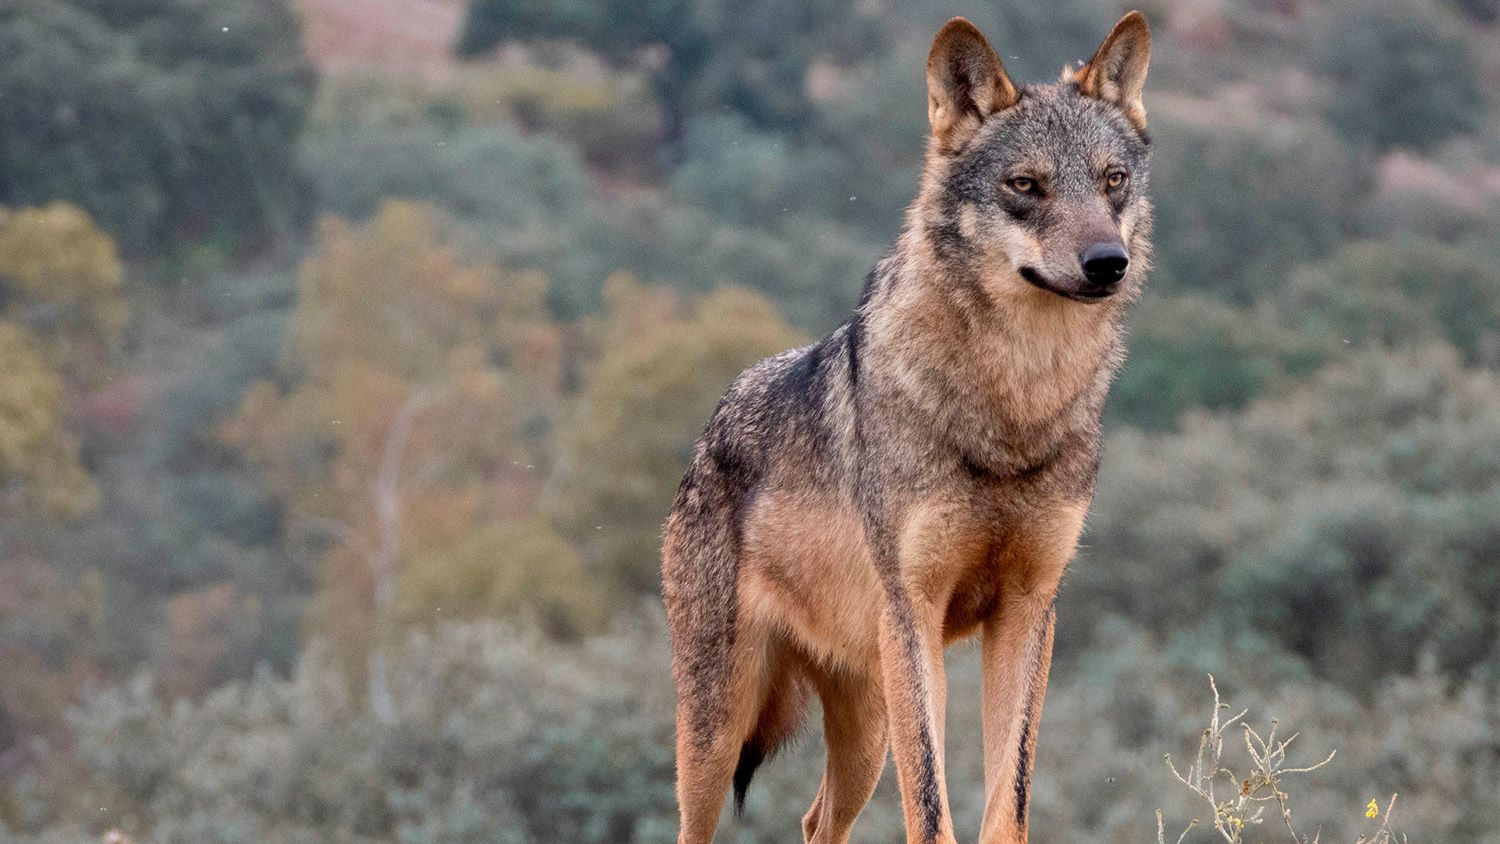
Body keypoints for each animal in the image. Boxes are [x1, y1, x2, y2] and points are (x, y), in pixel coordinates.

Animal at [663, 13, 1152, 844]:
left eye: (1111, 179)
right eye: (1025, 185)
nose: (1106, 261)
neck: (1012, 409)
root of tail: (708, 431)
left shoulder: (1029, 612)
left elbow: (1008, 800)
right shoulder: (914, 613)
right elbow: (931, 806)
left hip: (864, 728)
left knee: (815, 821)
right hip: (720, 726)